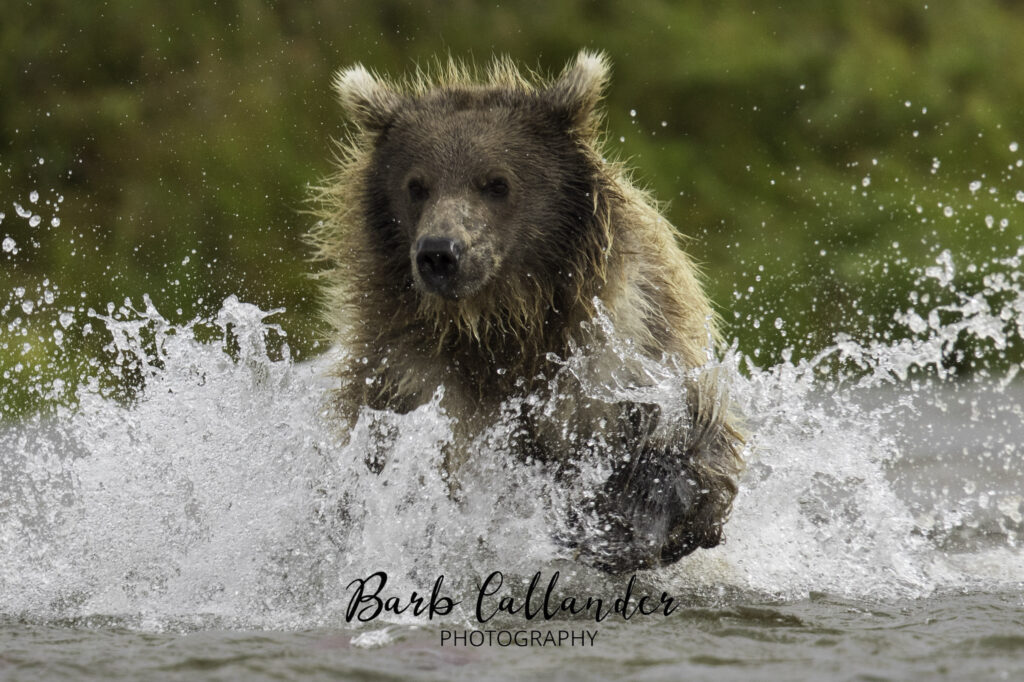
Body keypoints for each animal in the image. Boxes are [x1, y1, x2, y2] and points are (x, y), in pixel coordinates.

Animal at [309, 50, 744, 574]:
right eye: (416, 185)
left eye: (496, 183)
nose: (439, 253)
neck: (504, 323)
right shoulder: (407, 374)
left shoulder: (622, 348)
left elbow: (680, 445)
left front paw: (625, 522)